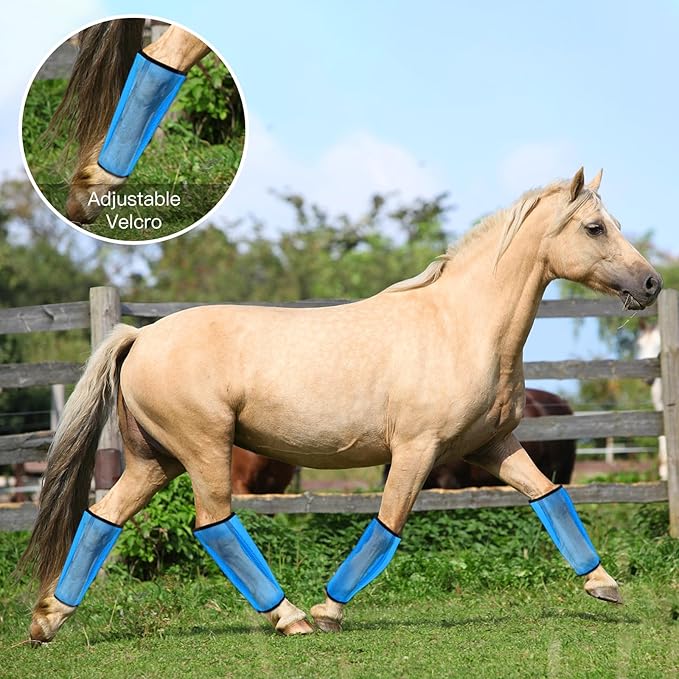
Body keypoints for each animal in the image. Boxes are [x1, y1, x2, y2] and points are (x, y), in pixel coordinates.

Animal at [21, 168, 662, 643]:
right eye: (595, 227)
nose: (652, 284)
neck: (460, 326)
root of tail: (140, 337)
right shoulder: (417, 451)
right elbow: (388, 524)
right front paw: (330, 611)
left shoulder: (491, 445)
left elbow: (548, 495)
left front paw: (604, 585)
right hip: (203, 451)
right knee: (213, 523)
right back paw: (291, 618)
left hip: (155, 461)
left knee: (103, 517)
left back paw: (47, 620)